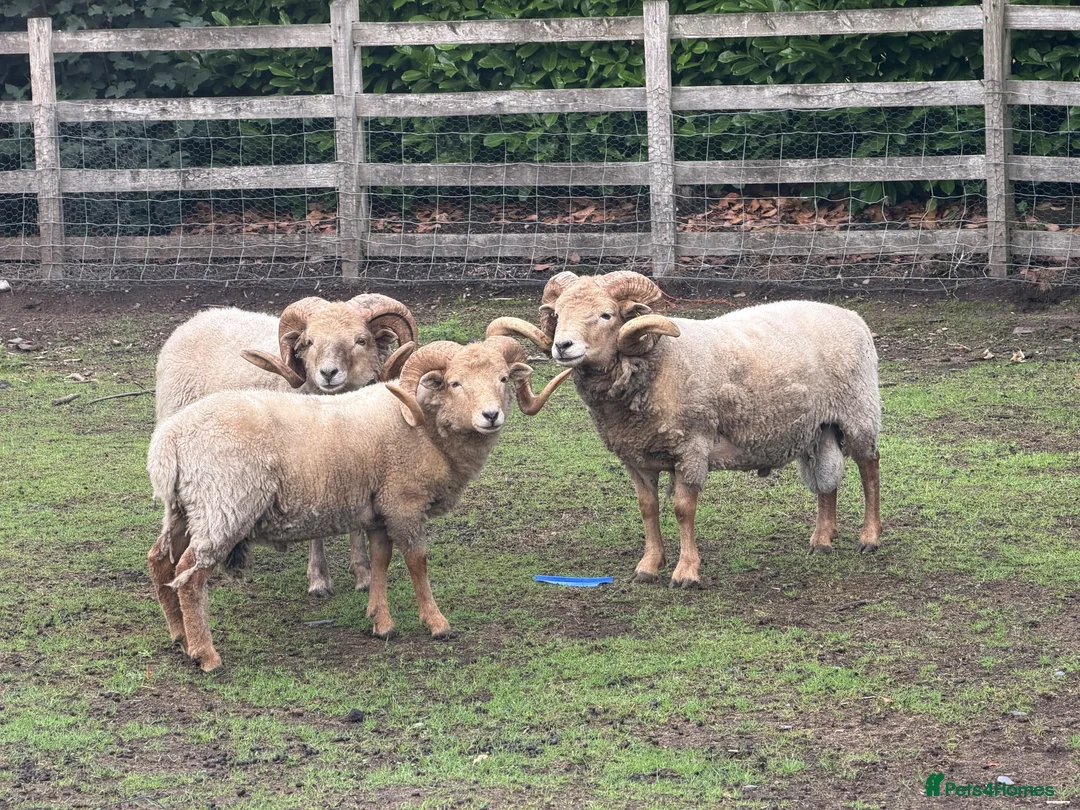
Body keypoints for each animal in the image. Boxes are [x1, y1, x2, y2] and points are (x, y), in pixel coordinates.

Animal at [145, 335, 572, 671]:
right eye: (455, 382)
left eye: (503, 379)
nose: (491, 415)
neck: (424, 425)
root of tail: (171, 439)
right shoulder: (404, 502)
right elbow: (417, 562)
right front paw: (436, 622)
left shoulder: (380, 509)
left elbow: (381, 560)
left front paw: (381, 622)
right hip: (224, 506)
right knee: (189, 576)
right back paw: (205, 655)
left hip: (186, 509)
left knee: (159, 561)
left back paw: (179, 636)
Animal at [154, 294, 417, 597]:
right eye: (309, 342)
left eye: (361, 340)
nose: (328, 373)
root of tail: (200, 316)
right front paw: (318, 579)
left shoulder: (357, 462)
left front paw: (363, 575)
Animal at [488, 271, 882, 588]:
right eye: (557, 314)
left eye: (606, 314)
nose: (562, 346)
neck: (659, 361)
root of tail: (850, 315)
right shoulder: (636, 457)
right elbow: (647, 508)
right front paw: (648, 567)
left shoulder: (691, 450)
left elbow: (682, 509)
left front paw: (686, 572)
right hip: (818, 428)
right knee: (826, 479)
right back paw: (822, 539)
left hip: (859, 412)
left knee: (869, 468)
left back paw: (870, 537)